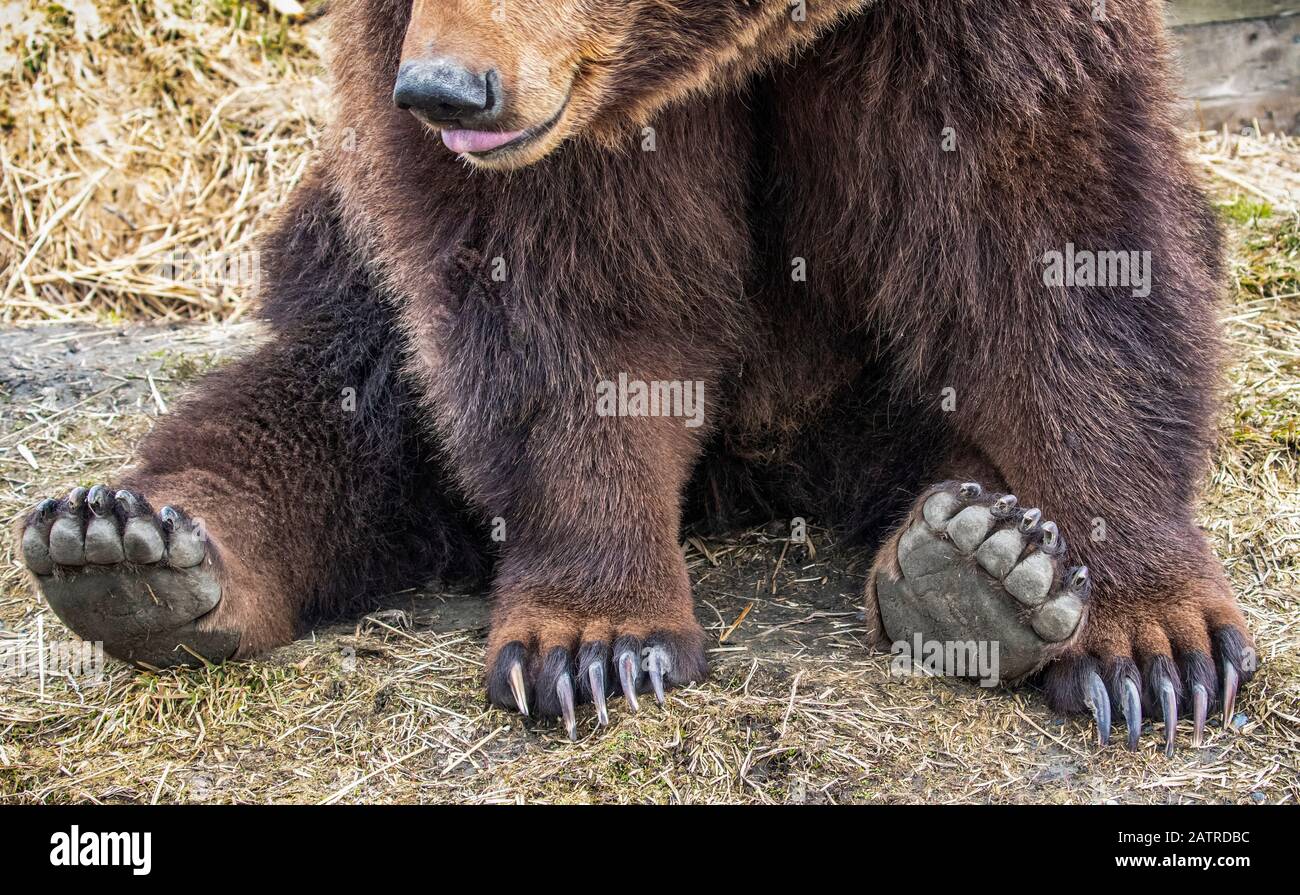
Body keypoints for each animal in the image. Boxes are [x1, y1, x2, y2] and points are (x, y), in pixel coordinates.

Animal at [17, 0, 1258, 749]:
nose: (445, 91)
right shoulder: (550, 136)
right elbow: (568, 314)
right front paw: (595, 644)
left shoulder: (983, 37)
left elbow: (1055, 239)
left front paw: (1155, 646)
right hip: (355, 277)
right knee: (327, 405)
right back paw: (131, 546)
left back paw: (980, 559)